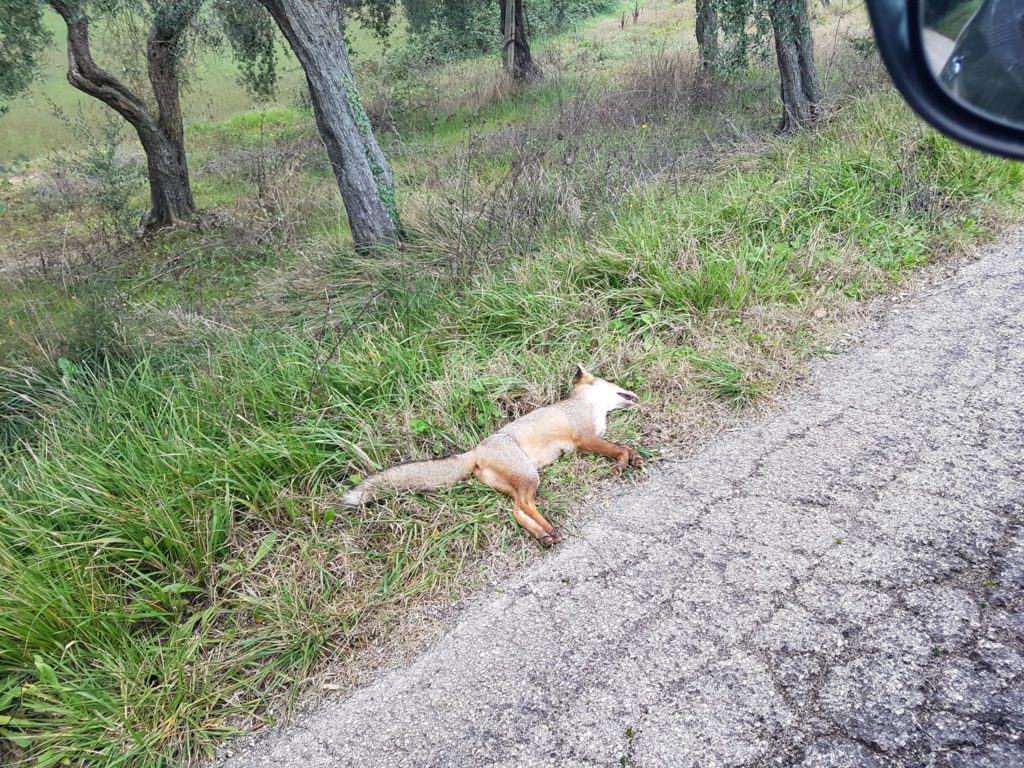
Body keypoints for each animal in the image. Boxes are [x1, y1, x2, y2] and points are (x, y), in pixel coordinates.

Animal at [344, 366, 638, 548]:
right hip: (530, 476)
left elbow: (626, 448)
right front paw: (622, 463)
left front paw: (635, 458)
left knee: (516, 511)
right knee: (523, 506)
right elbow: (619, 448)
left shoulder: (590, 440)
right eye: (613, 383)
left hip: (518, 483)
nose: (634, 393)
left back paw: (542, 535)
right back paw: (548, 530)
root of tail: (476, 449)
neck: (589, 406)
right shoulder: (584, 439)